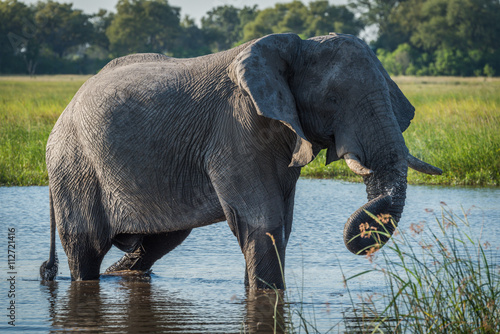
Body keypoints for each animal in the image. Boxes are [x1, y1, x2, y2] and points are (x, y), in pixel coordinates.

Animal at [40, 33, 442, 290]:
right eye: (333, 99)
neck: (298, 46)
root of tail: (65, 110)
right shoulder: (235, 128)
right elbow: (264, 223)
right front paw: (267, 295)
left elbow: (280, 226)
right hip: (73, 164)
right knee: (86, 247)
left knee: (159, 242)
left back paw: (122, 275)